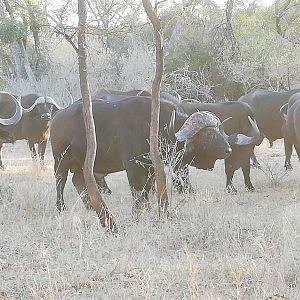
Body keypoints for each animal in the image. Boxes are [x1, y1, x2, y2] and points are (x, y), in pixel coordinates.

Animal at [49, 95, 232, 217]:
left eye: (219, 130)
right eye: (209, 133)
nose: (228, 150)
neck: (157, 126)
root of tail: (57, 116)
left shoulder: (150, 169)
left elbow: (147, 190)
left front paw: (148, 208)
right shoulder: (133, 167)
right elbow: (137, 191)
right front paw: (138, 210)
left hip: (82, 164)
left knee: (78, 180)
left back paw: (89, 206)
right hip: (61, 160)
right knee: (60, 181)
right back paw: (60, 207)